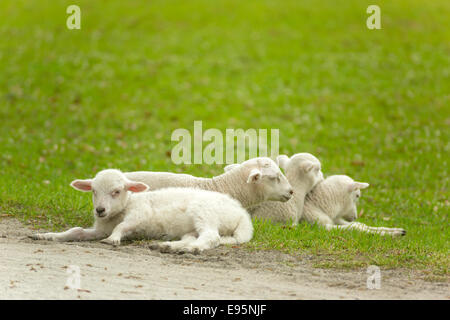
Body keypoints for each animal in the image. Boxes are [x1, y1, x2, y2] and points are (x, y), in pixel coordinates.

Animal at [32, 169, 253, 254]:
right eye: (93, 191)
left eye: (117, 191)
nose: (99, 210)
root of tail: (242, 215)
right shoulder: (100, 228)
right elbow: (75, 231)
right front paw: (47, 236)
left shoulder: (141, 214)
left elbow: (122, 227)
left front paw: (113, 240)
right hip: (193, 226)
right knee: (194, 237)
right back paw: (167, 246)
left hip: (205, 213)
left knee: (211, 237)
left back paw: (191, 249)